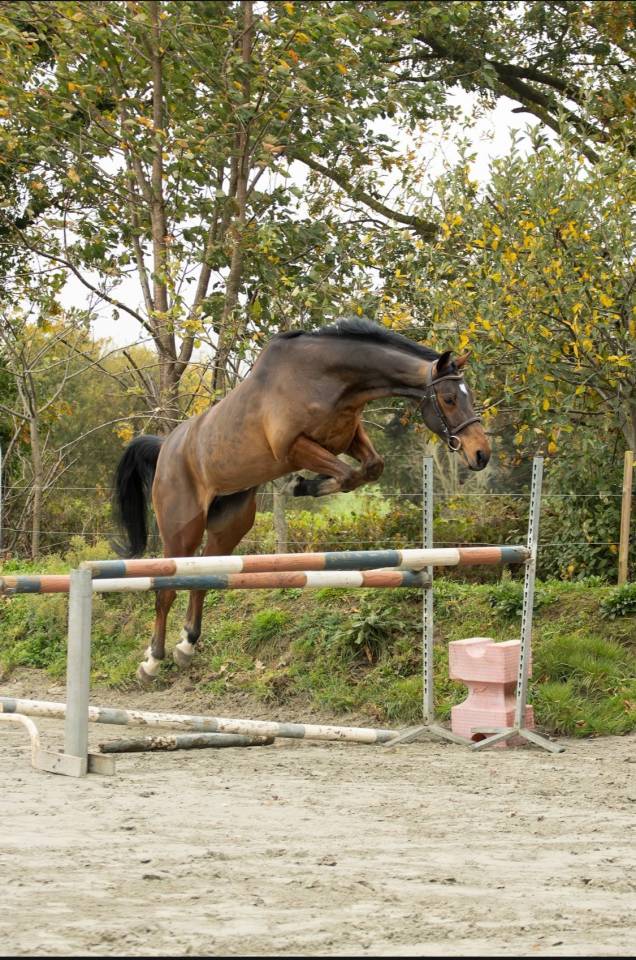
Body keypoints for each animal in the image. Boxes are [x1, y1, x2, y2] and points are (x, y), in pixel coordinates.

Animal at [113, 318, 491, 683]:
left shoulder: (348, 437)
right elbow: (349, 475)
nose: (481, 454)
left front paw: (306, 486)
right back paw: (152, 662)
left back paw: (187, 645)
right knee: (166, 589)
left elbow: (371, 468)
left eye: (468, 396)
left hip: (230, 523)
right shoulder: (294, 448)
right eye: (449, 398)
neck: (331, 379)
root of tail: (166, 447)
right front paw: (304, 486)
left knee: (203, 576)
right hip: (182, 527)